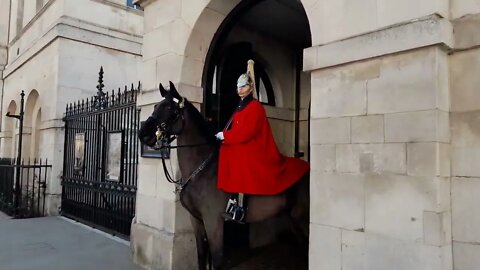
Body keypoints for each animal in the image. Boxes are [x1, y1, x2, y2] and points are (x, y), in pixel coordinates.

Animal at [138, 82, 312, 270]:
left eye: (171, 108)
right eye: (155, 106)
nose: (143, 134)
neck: (201, 169)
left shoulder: (213, 220)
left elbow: (217, 259)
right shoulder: (196, 219)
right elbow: (201, 255)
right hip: (293, 218)